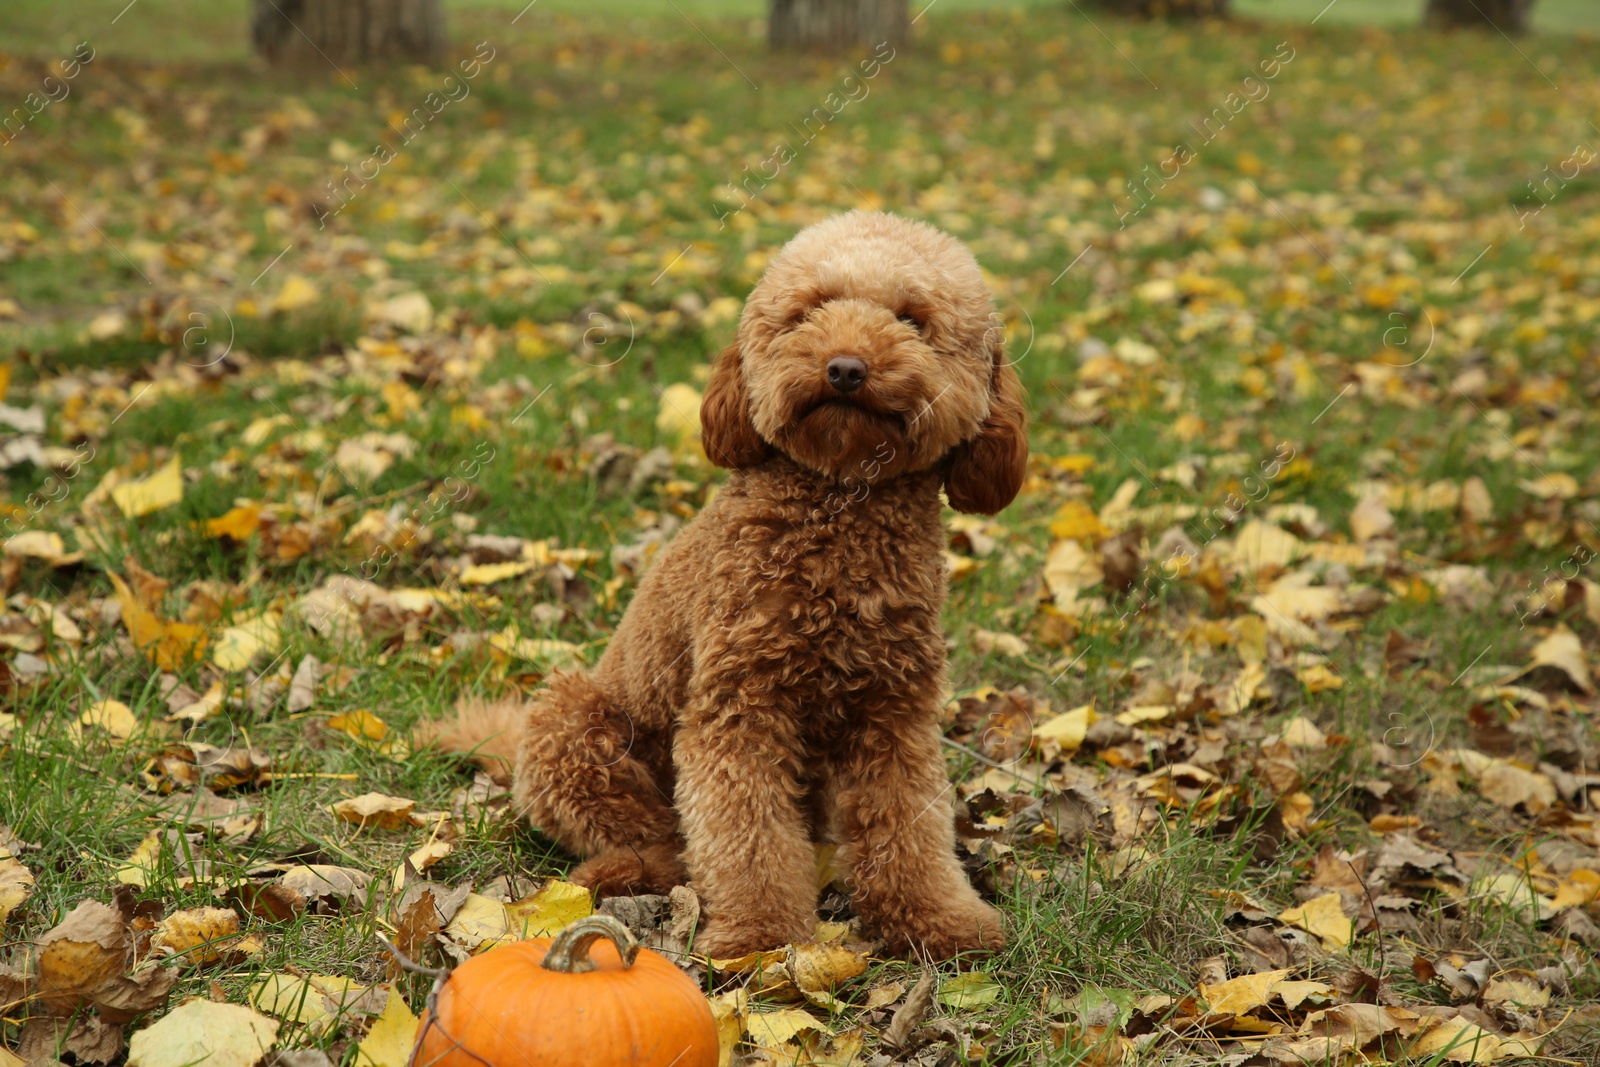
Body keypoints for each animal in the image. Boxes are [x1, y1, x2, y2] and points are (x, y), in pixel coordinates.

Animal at [428, 211, 1024, 959]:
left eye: (912, 319)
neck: (841, 513)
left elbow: (907, 827)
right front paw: (762, 939)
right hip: (575, 726)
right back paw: (624, 874)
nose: (846, 368)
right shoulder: (738, 708)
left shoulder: (895, 716)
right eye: (806, 313)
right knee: (652, 837)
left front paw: (938, 921)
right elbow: (747, 834)